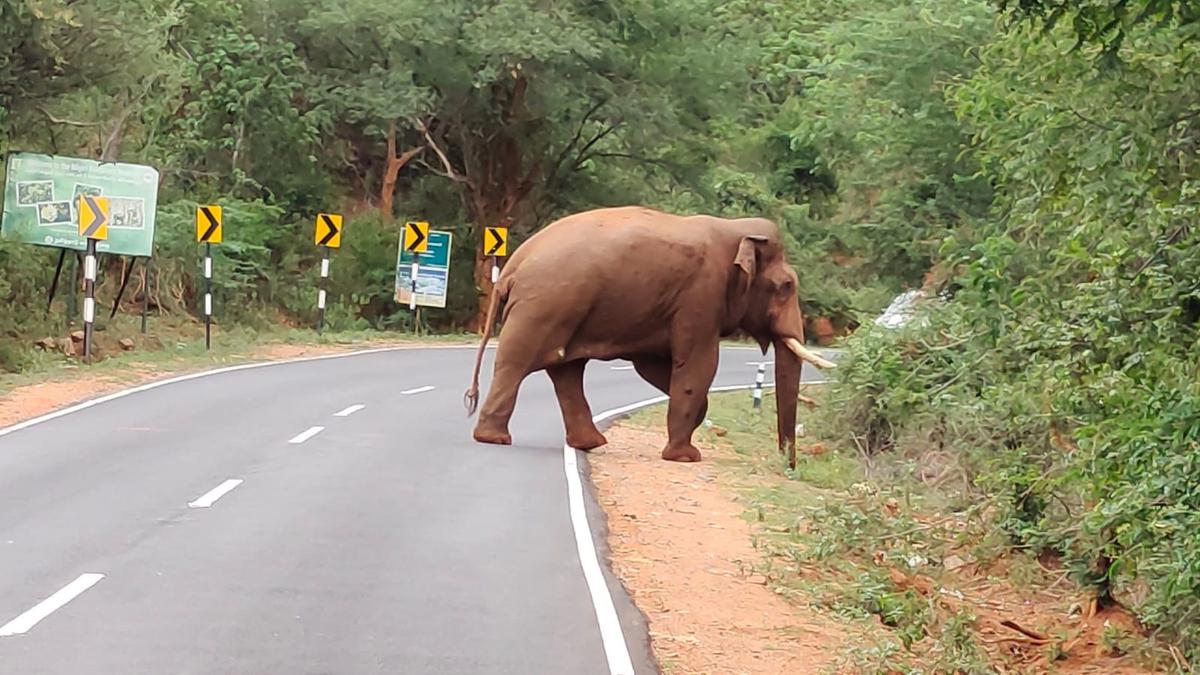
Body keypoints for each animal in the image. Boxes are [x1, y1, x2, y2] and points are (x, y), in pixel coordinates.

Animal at [463, 201, 840, 458]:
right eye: (787, 287)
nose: (788, 462)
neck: (735, 230)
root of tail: (512, 265)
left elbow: (654, 365)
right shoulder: (701, 295)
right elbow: (698, 364)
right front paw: (685, 457)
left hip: (561, 307)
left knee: (565, 370)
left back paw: (589, 444)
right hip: (545, 304)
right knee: (519, 362)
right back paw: (494, 438)